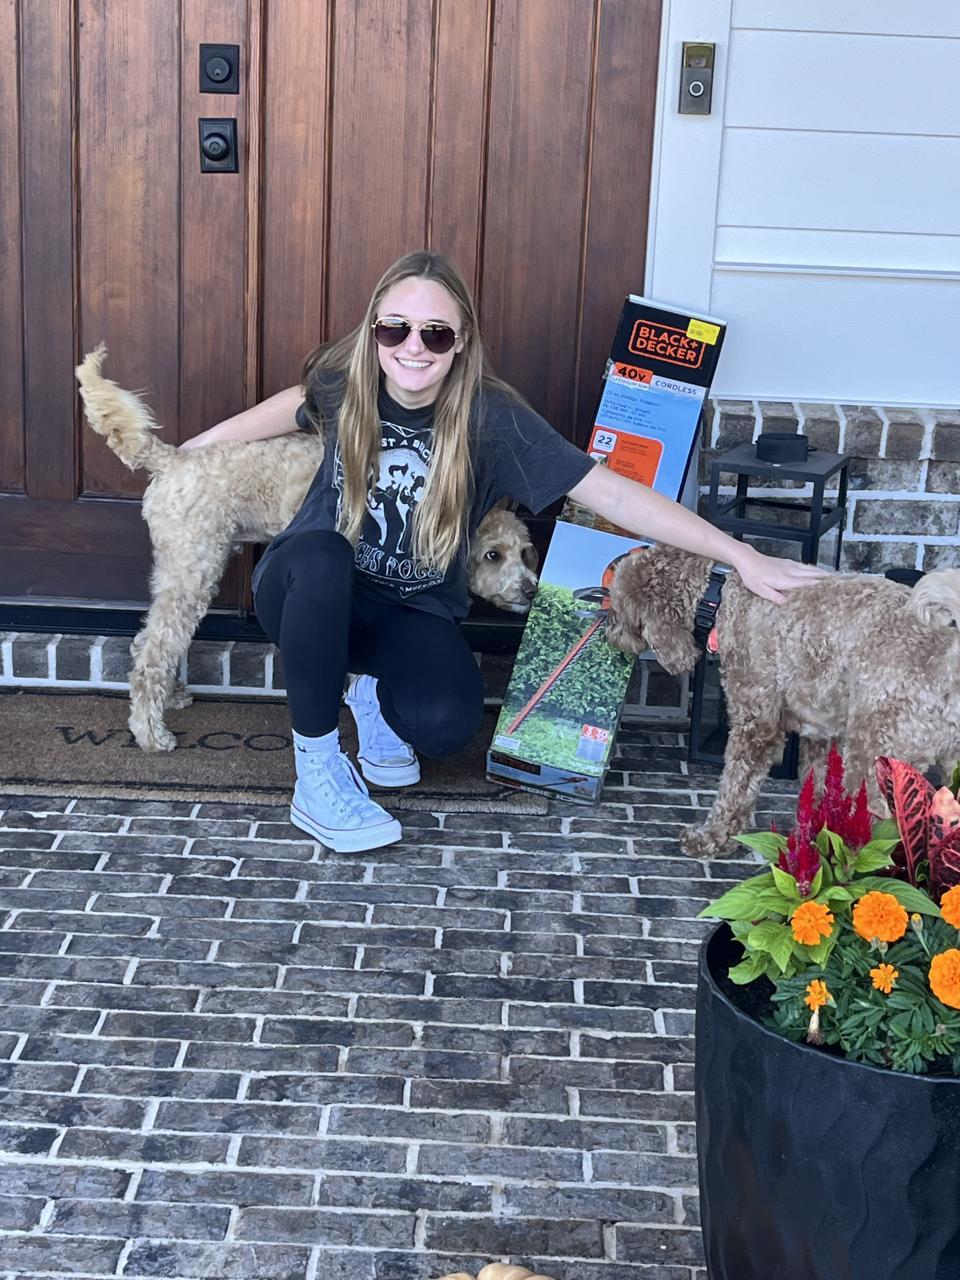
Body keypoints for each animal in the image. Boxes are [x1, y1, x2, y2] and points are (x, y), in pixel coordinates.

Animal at [76, 346, 539, 752]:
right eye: (493, 555)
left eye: (525, 553)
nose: (532, 588)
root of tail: (171, 460)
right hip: (193, 569)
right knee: (154, 650)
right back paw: (151, 733)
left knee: (147, 642)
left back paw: (169, 697)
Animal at [605, 544, 960, 857]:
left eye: (618, 607)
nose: (609, 634)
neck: (718, 594)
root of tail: (949, 650)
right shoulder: (821, 730)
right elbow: (817, 786)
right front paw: (814, 836)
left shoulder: (756, 723)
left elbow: (736, 787)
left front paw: (713, 838)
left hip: (874, 756)